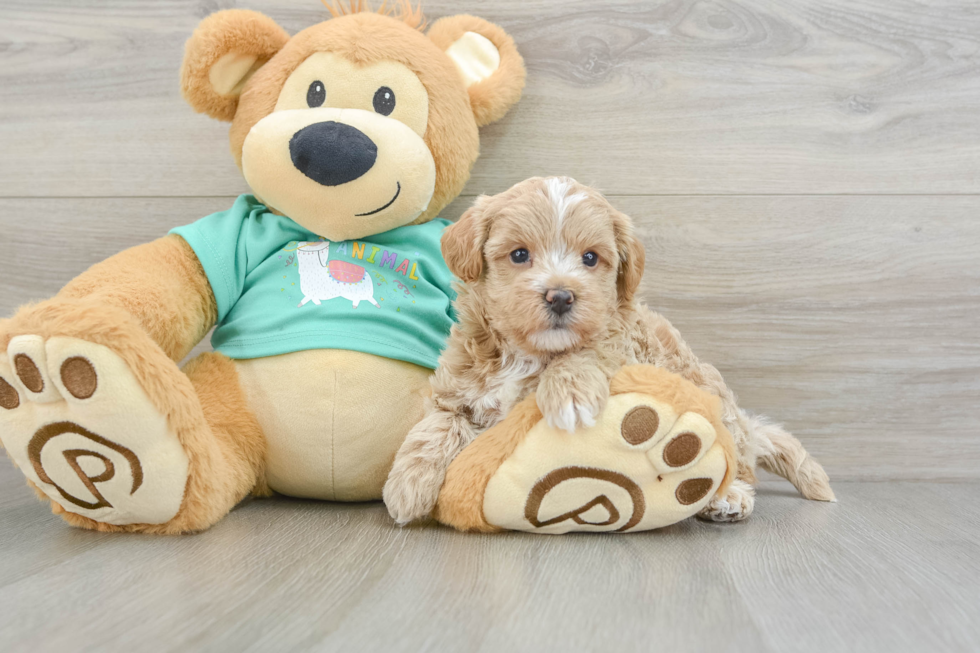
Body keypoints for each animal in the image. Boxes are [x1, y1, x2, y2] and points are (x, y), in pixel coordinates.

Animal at [382, 177, 836, 524]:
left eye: (590, 258)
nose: (561, 296)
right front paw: (407, 484)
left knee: (736, 462)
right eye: (519, 254)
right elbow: (439, 424)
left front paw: (568, 394)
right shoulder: (458, 384)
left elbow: (590, 351)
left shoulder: (624, 346)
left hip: (716, 402)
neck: (526, 354)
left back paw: (728, 497)